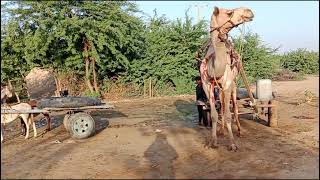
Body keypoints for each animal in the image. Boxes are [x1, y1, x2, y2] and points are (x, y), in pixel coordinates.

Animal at [200, 6, 255, 150]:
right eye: (229, 12)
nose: (249, 11)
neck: (214, 66)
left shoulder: (228, 83)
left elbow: (229, 114)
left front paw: (232, 144)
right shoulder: (207, 85)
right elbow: (215, 114)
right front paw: (212, 142)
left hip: (234, 84)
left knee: (234, 108)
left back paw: (239, 131)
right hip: (219, 88)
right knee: (224, 105)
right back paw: (221, 131)